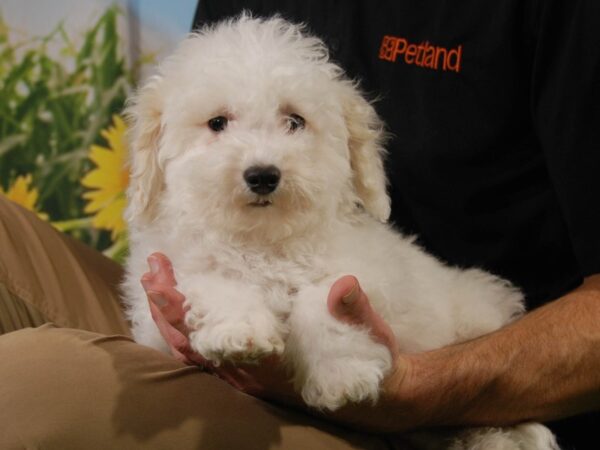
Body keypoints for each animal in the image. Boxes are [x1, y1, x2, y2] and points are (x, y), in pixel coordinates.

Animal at [124, 15, 560, 448]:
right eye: (217, 123)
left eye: (295, 122)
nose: (263, 175)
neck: (265, 241)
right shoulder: (167, 287)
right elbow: (211, 277)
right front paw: (239, 331)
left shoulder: (365, 273)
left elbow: (323, 297)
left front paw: (341, 376)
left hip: (478, 312)